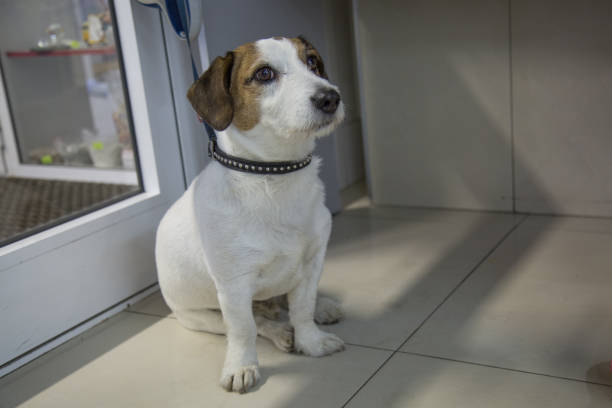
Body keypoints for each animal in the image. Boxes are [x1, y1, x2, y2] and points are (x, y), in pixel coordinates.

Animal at [155, 36, 346, 394]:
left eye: (312, 62)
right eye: (264, 73)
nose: (330, 97)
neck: (274, 176)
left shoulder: (311, 264)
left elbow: (302, 309)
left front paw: (311, 342)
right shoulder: (233, 285)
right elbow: (244, 330)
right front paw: (242, 366)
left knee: (286, 305)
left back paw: (321, 308)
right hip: (201, 316)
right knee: (257, 322)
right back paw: (279, 331)